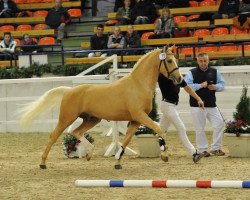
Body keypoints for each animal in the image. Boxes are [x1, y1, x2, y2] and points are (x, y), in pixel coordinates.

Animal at [20, 45, 184, 169]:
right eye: (169, 60)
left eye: (175, 60)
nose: (179, 79)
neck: (138, 85)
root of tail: (69, 90)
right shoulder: (140, 116)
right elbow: (159, 129)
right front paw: (164, 155)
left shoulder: (136, 120)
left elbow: (126, 140)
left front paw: (117, 162)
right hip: (66, 118)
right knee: (54, 136)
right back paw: (43, 163)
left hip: (92, 119)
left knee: (76, 132)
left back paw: (89, 154)